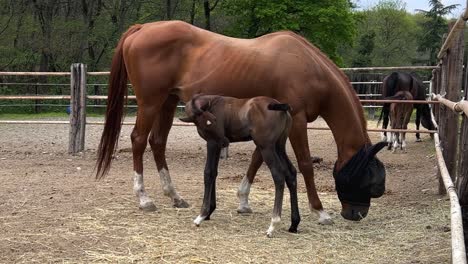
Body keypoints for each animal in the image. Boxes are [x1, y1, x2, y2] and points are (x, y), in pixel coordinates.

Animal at [96, 20, 388, 223]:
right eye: (370, 180)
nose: (356, 214)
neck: (308, 66)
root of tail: (142, 28)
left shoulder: (267, 125)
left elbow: (257, 159)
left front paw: (243, 200)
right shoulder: (296, 121)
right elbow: (306, 165)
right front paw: (320, 211)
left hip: (167, 102)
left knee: (157, 142)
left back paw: (175, 196)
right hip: (149, 102)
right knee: (138, 140)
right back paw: (144, 198)